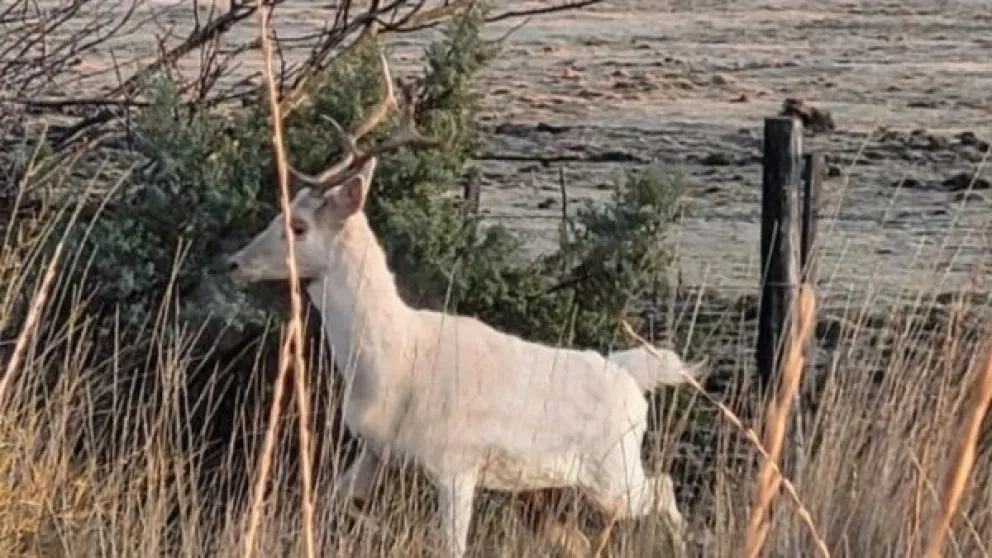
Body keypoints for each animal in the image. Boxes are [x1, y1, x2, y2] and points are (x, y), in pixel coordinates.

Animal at [227, 51, 704, 558]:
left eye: (298, 226)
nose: (235, 263)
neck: (393, 364)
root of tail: (633, 376)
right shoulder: (375, 450)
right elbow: (326, 501)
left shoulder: (455, 465)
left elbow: (451, 545)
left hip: (613, 470)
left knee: (663, 487)